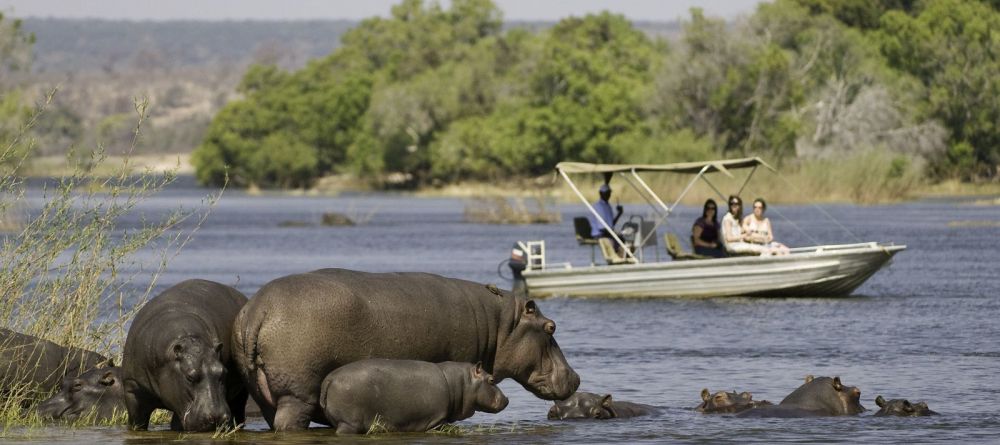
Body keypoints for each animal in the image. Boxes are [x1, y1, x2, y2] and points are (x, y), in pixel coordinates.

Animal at [121, 279, 248, 431]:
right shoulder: (132, 388)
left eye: (223, 372)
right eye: (190, 377)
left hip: (241, 393)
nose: (217, 418)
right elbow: (137, 421)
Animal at [320, 359, 508, 434]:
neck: (461, 383)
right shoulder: (437, 419)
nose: (507, 400)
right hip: (349, 423)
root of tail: (329, 379)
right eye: (491, 379)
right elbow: (447, 426)